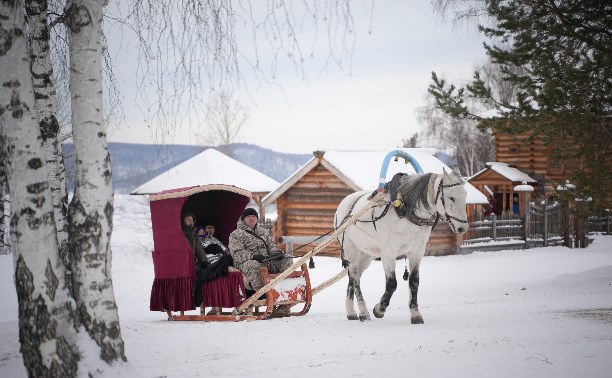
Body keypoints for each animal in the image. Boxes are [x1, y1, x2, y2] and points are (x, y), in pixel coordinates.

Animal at [334, 170, 468, 324]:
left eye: (465, 195)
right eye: (451, 197)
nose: (462, 228)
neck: (405, 211)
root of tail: (342, 205)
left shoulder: (416, 252)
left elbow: (414, 281)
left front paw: (415, 314)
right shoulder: (388, 253)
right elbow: (392, 284)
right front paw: (379, 309)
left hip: (366, 255)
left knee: (352, 276)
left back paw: (351, 312)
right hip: (351, 250)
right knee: (355, 279)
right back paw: (364, 312)